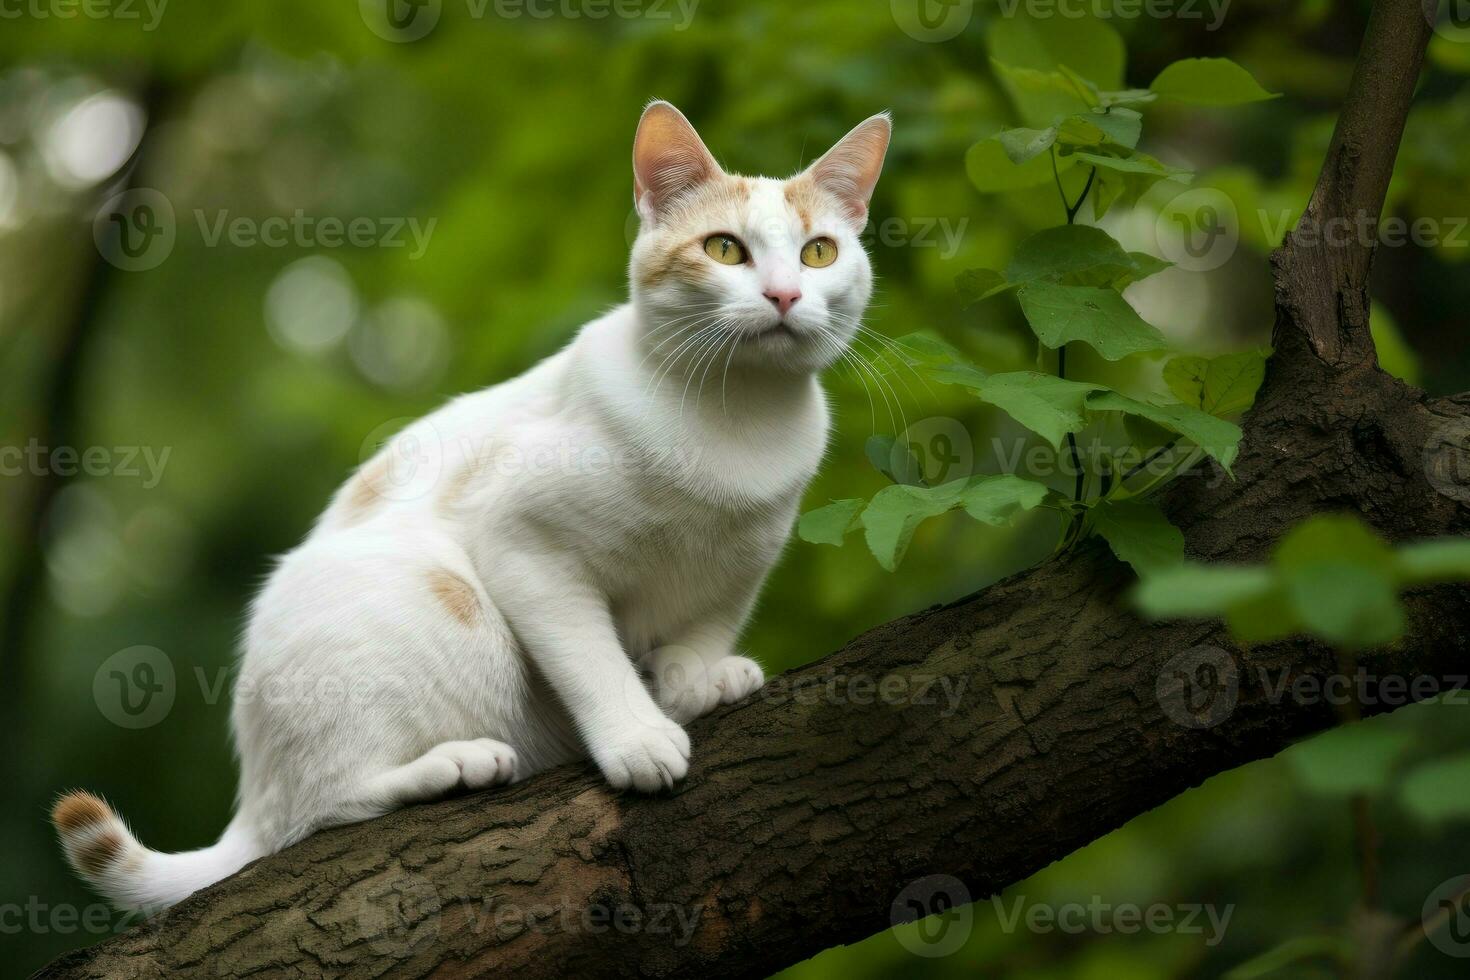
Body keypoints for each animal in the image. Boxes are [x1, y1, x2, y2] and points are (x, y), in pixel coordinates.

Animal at [51, 99, 887, 910]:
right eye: (724, 250)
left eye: (818, 253)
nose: (784, 295)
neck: (737, 423)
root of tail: (251, 789)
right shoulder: (523, 546)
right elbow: (593, 660)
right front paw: (638, 735)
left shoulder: (737, 573)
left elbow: (697, 640)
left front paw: (695, 683)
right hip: (440, 612)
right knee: (318, 810)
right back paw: (454, 765)